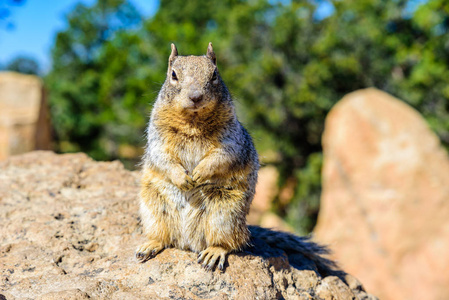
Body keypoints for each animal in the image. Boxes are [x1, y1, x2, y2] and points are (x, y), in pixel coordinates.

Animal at [135, 42, 334, 274]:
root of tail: (188, 243)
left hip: (225, 214)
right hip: (153, 209)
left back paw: (213, 252)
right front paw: (183, 177)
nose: (195, 96)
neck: (193, 121)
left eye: (214, 74)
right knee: (164, 237)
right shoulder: (157, 137)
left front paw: (199, 173)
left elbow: (221, 156)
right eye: (173, 75)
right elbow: (162, 157)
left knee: (229, 242)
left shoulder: (232, 141)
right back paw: (150, 245)